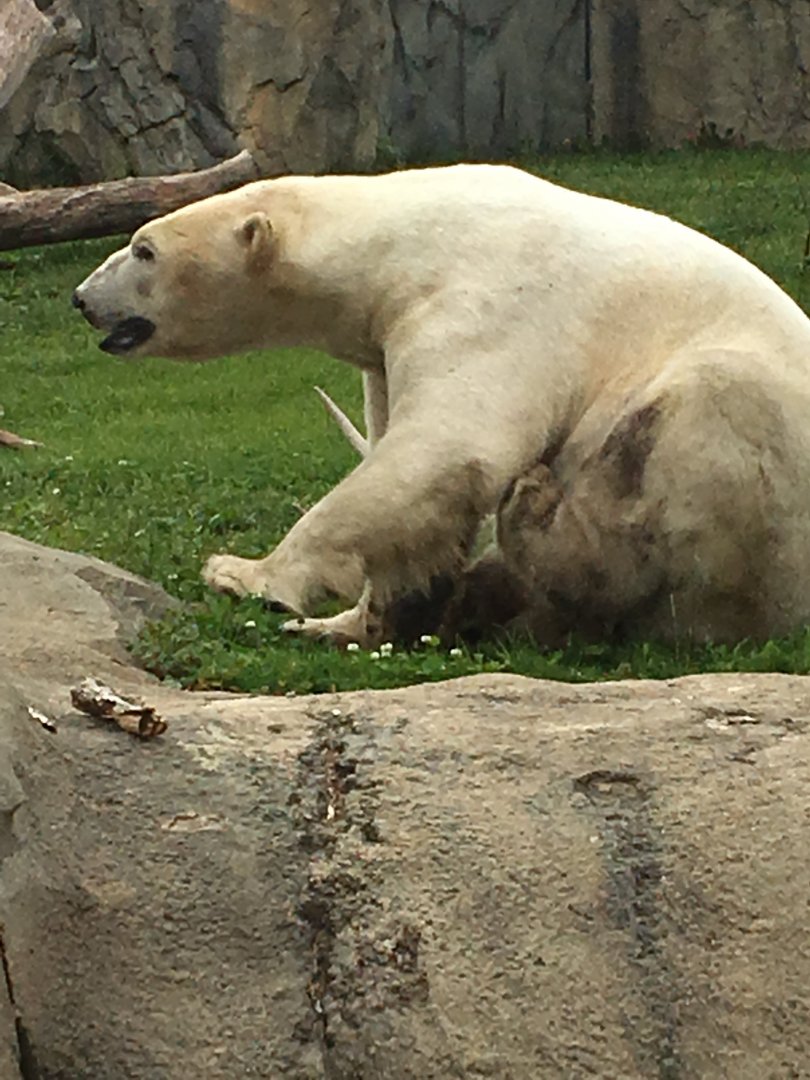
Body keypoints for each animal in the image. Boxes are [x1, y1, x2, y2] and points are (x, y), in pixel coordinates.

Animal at [72, 163, 810, 649]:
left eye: (143, 248)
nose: (82, 298)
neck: (403, 239)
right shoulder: (382, 342)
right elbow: (417, 497)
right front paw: (352, 620)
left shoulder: (491, 300)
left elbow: (448, 448)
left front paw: (246, 575)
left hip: (752, 460)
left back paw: (537, 520)